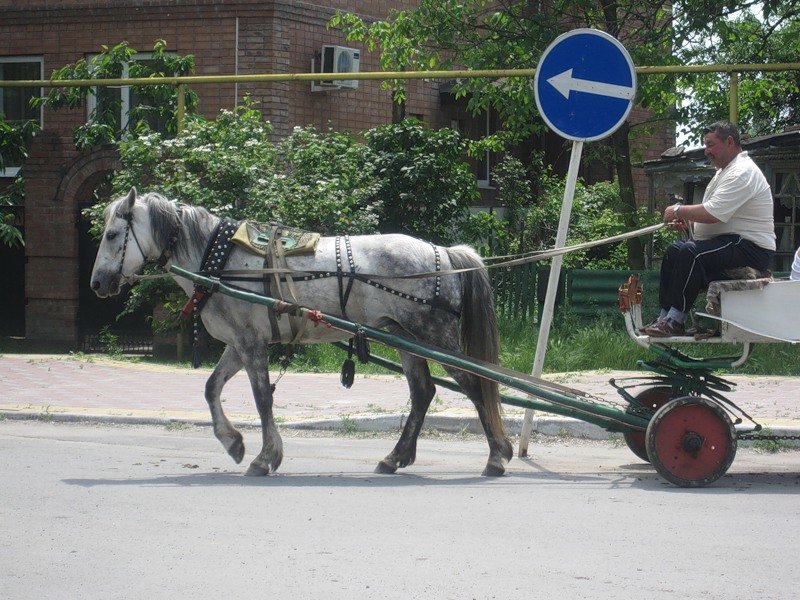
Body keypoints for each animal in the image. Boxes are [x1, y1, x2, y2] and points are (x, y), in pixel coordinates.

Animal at [90, 188, 513, 476]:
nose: (97, 284)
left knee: (476, 386)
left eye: (111, 234)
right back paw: (395, 457)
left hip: (435, 337)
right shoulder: (239, 343)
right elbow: (212, 388)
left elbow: (262, 398)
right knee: (423, 392)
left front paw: (265, 457)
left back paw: (496, 456)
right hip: (405, 338)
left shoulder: (252, 343)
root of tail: (444, 253)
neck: (220, 258)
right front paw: (234, 443)